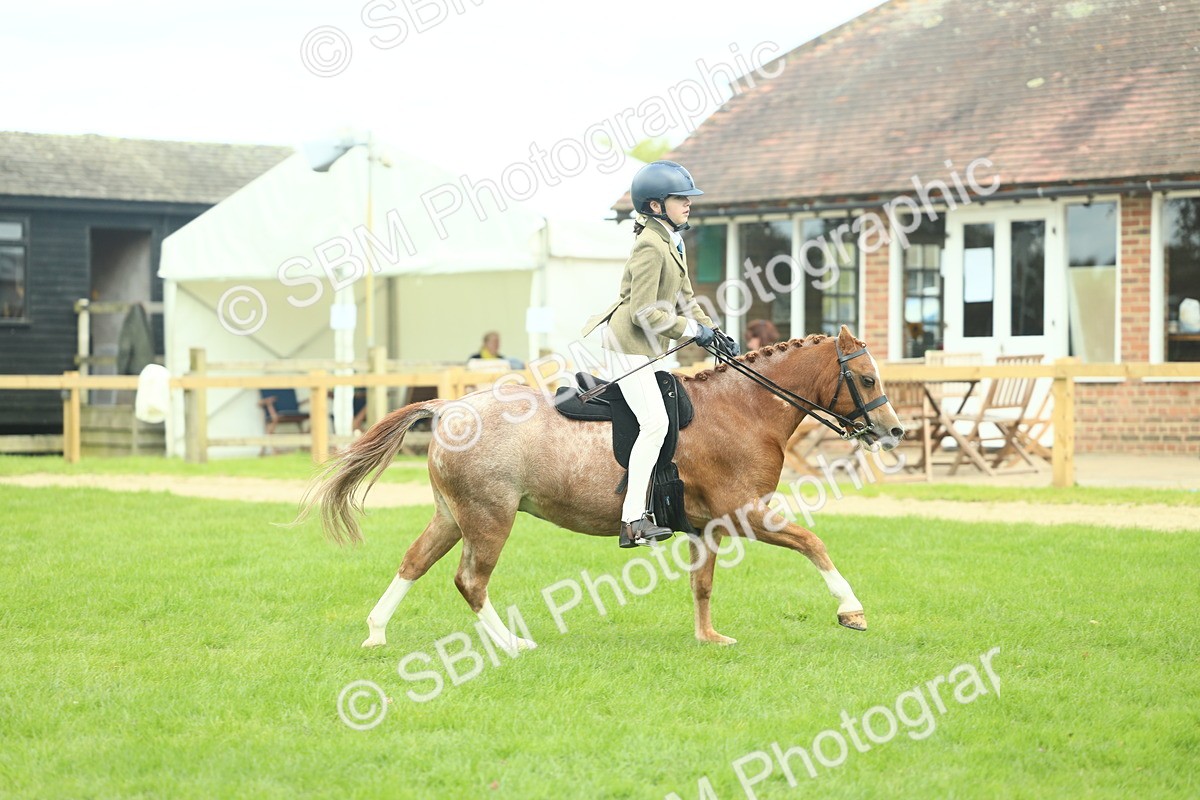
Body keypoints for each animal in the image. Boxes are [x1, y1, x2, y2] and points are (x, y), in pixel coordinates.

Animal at [302, 325, 904, 650]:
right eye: (867, 378)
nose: (894, 431)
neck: (744, 408)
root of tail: (450, 407)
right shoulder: (744, 513)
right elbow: (812, 543)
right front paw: (851, 611)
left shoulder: (708, 526)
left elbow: (703, 585)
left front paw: (708, 639)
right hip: (490, 518)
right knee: (470, 581)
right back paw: (511, 643)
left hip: (453, 516)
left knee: (414, 562)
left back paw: (377, 632)